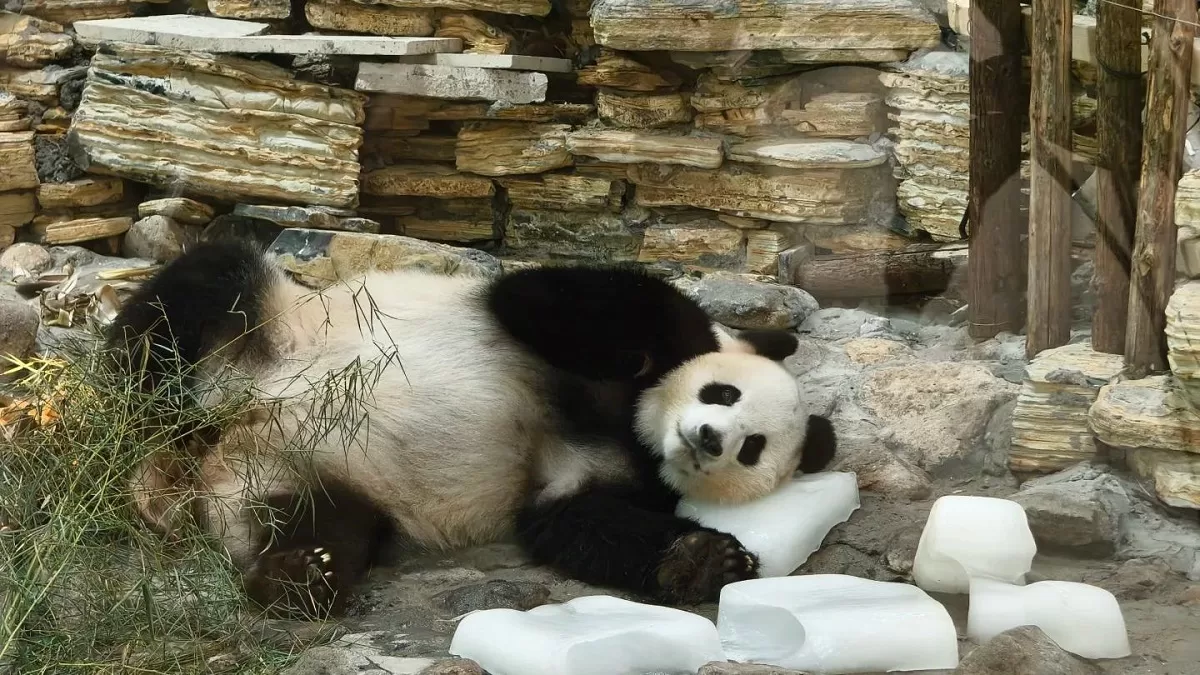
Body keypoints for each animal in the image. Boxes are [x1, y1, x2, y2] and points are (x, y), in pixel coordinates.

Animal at [106, 239, 837, 619]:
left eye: (752, 449)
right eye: (723, 393)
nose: (709, 439)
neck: (630, 425)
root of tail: (209, 447)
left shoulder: (596, 477)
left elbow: (571, 522)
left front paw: (707, 559)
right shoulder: (565, 329)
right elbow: (561, 300)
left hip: (288, 471)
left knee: (322, 520)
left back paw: (296, 573)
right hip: (267, 330)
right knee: (203, 287)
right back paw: (120, 421)